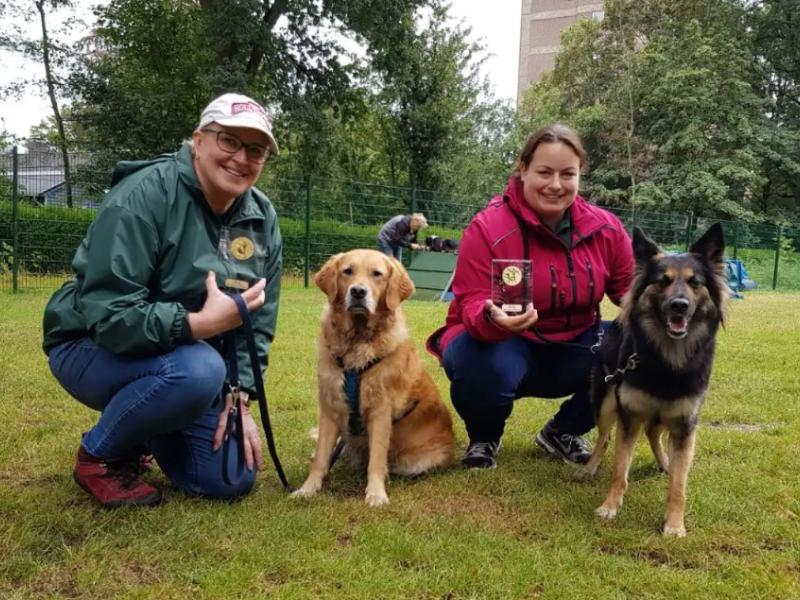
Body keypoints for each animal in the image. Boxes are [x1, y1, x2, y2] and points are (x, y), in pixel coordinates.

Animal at [584, 223, 728, 536]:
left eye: (694, 282)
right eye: (662, 281)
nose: (679, 306)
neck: (667, 360)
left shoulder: (685, 423)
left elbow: (679, 485)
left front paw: (674, 524)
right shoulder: (629, 416)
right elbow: (619, 469)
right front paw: (610, 506)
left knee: (654, 434)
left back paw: (666, 462)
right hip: (605, 403)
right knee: (604, 437)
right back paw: (589, 467)